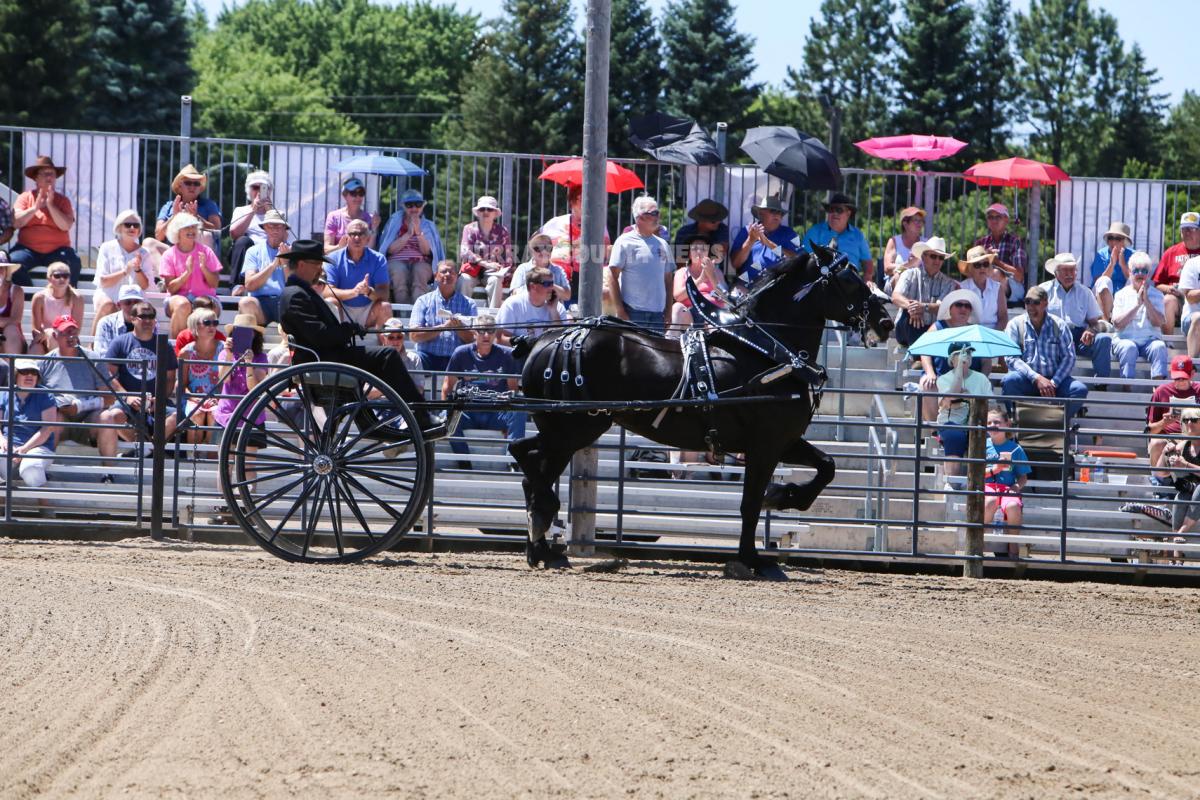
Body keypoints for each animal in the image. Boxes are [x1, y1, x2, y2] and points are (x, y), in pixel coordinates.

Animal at [508, 248, 894, 579]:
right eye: (849, 280)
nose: (886, 322)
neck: (767, 354)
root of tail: (542, 341)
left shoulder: (784, 440)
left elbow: (826, 466)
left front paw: (786, 496)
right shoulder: (765, 446)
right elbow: (751, 503)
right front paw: (753, 558)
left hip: (564, 429)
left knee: (528, 462)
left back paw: (542, 549)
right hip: (574, 429)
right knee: (530, 465)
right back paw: (544, 528)